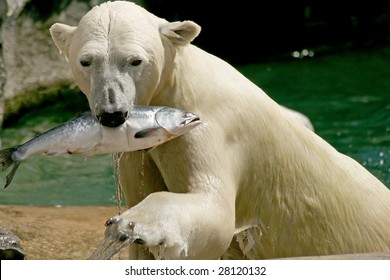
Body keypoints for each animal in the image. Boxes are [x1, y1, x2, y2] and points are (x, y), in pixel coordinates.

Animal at [48, 0, 390, 260]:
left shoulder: (212, 125)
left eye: (135, 60)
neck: (177, 84)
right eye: (86, 61)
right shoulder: (138, 150)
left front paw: (133, 224)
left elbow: (213, 210)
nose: (113, 114)